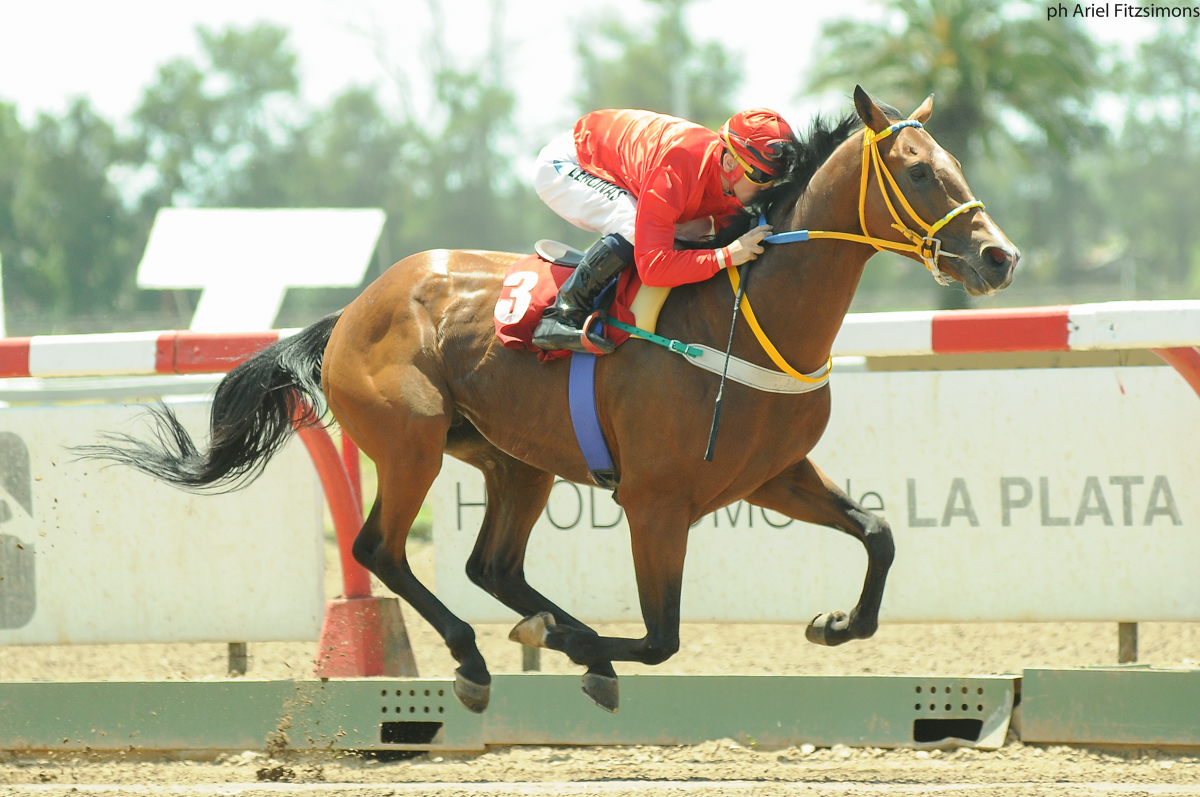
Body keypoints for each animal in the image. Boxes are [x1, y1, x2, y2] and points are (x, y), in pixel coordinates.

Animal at [81, 87, 1017, 715]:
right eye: (920, 172)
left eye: (955, 163)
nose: (999, 257)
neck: (750, 314)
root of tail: (352, 309)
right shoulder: (656, 501)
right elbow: (662, 635)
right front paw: (572, 643)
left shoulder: (772, 476)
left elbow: (880, 532)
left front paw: (835, 624)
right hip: (412, 442)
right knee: (380, 547)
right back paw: (481, 657)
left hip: (512, 460)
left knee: (490, 565)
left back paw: (543, 633)